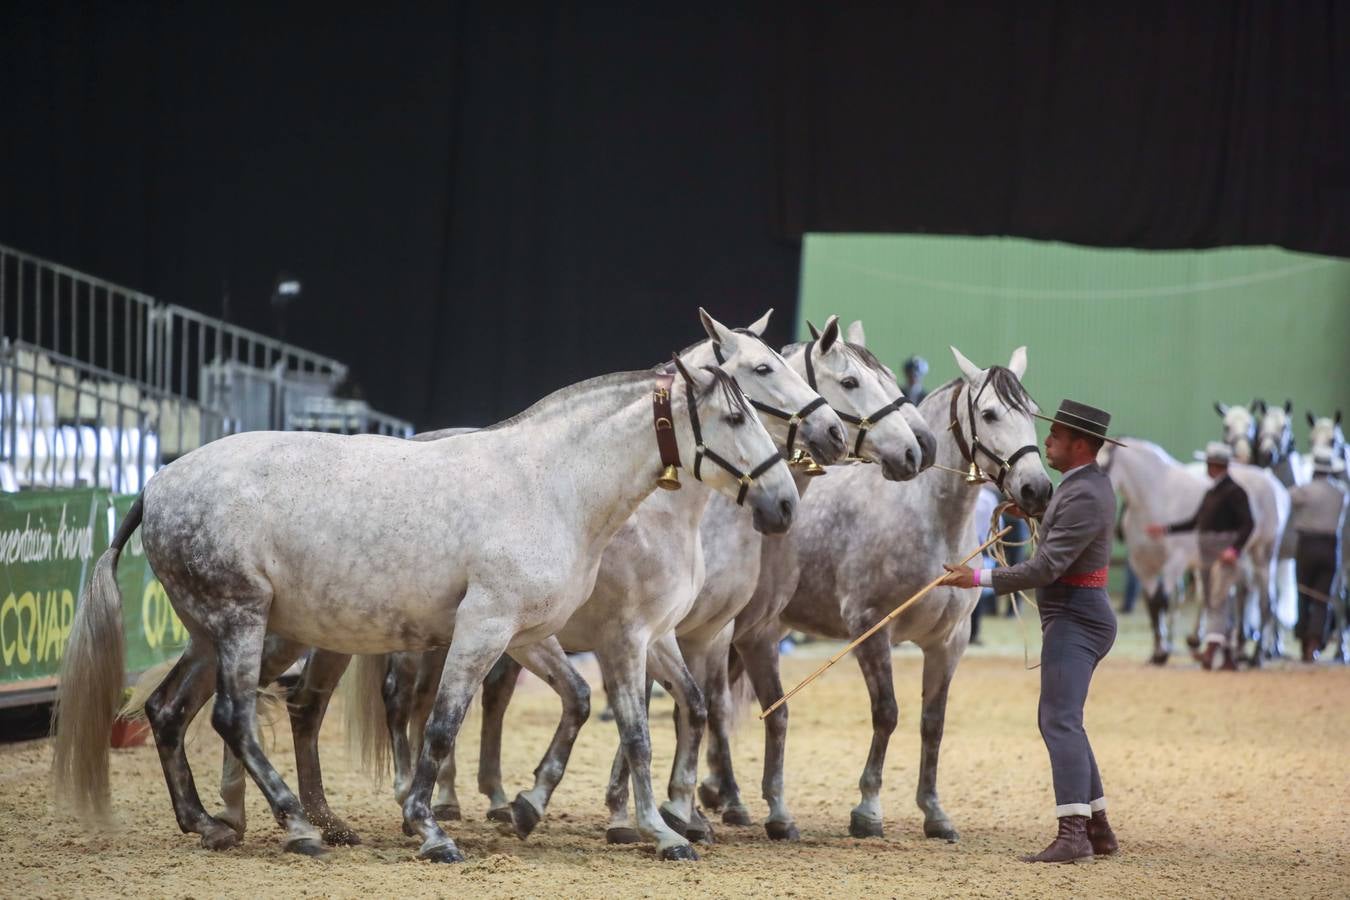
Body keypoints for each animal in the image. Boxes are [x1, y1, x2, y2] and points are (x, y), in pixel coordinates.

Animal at [52, 345, 793, 863]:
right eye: (737, 413)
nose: (783, 503)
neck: (551, 483)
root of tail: (158, 482)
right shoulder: (497, 627)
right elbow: (443, 725)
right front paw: (430, 828)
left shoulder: (533, 635)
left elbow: (618, 722)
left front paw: (654, 831)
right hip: (242, 624)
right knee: (235, 718)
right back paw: (296, 825)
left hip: (215, 633)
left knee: (170, 711)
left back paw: (212, 823)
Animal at [712, 348, 1047, 847]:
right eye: (988, 413)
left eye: (1031, 412)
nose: (1037, 489)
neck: (926, 516)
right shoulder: (871, 629)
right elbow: (886, 713)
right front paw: (868, 811)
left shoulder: (948, 643)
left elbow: (933, 723)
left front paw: (935, 813)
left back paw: (720, 794)